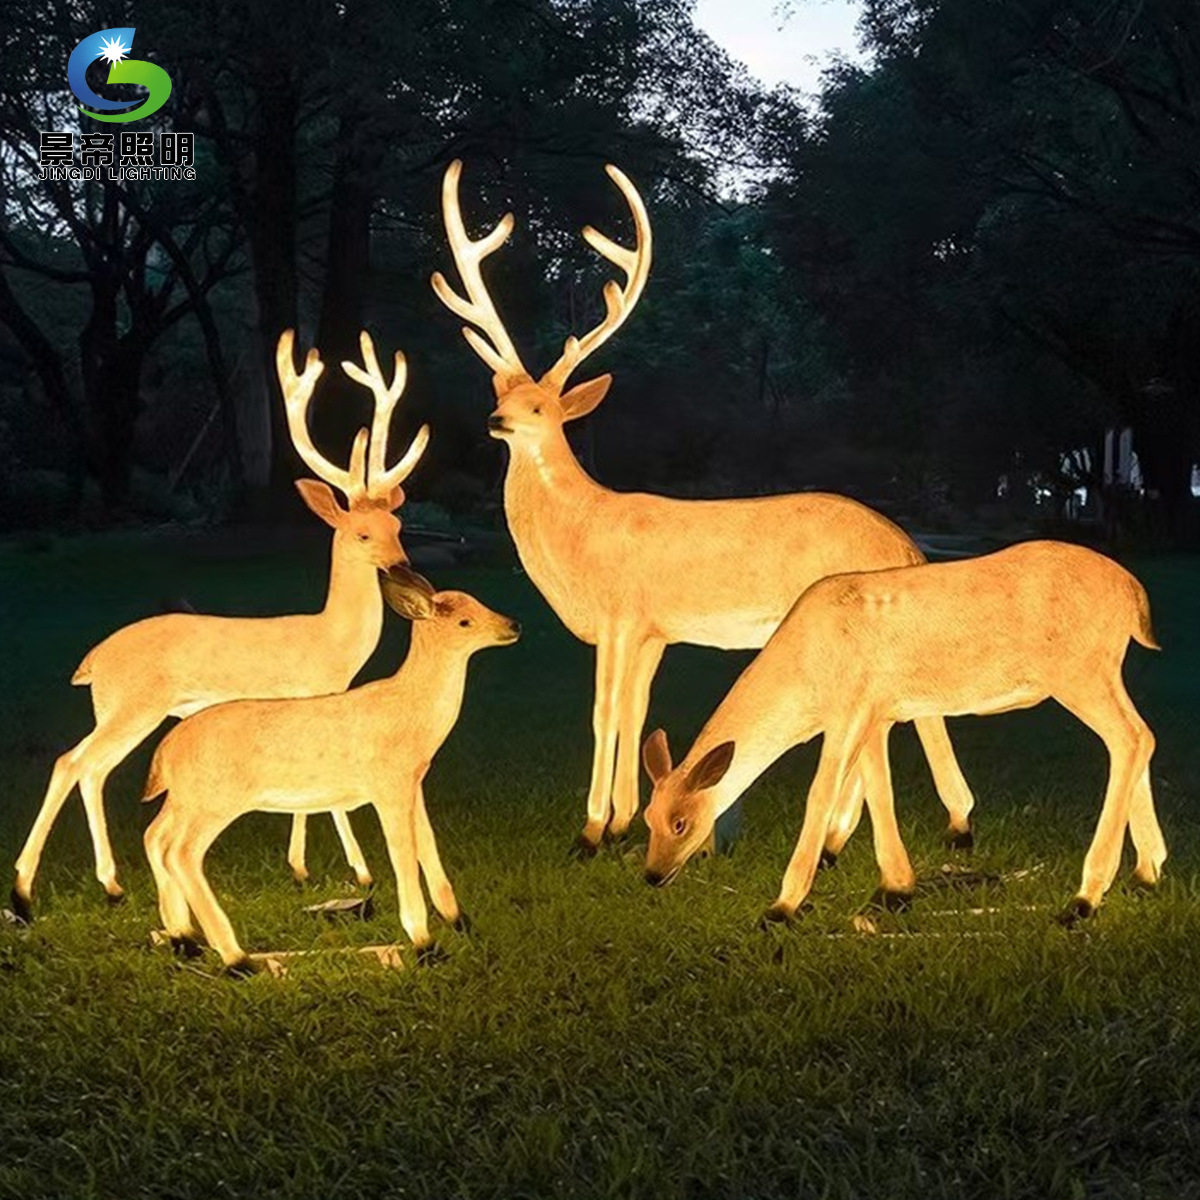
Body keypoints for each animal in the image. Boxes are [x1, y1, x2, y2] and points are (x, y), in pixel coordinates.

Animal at [11, 330, 430, 922]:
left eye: (397, 524)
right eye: (362, 533)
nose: (402, 567)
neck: (332, 641)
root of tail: (91, 663)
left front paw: (301, 867)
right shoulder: (306, 695)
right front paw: (358, 870)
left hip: (122, 709)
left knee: (92, 769)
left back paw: (110, 883)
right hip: (133, 704)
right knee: (72, 761)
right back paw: (26, 887)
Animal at [140, 571, 521, 975]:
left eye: (478, 602)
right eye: (464, 622)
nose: (514, 625)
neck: (409, 710)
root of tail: (165, 751)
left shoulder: (413, 783)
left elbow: (427, 845)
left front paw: (460, 923)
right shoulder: (387, 786)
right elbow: (402, 854)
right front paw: (424, 944)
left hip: (184, 800)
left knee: (156, 837)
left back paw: (185, 939)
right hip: (215, 800)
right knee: (182, 853)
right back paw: (236, 959)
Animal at [431, 158, 978, 857]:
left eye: (541, 408)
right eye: (501, 393)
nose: (496, 421)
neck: (578, 534)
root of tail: (905, 543)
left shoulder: (621, 614)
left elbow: (604, 711)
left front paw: (589, 829)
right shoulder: (654, 630)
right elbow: (635, 710)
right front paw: (623, 820)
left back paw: (864, 834)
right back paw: (895, 831)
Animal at [640, 540, 1166, 926]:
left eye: (680, 823)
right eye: (648, 818)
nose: (652, 875)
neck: (803, 674)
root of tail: (1134, 595)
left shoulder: (848, 706)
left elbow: (820, 793)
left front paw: (781, 907)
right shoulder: (875, 712)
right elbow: (879, 790)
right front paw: (894, 889)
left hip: (1076, 670)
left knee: (1128, 738)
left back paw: (1084, 899)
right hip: (1102, 670)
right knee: (1140, 736)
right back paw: (1146, 874)